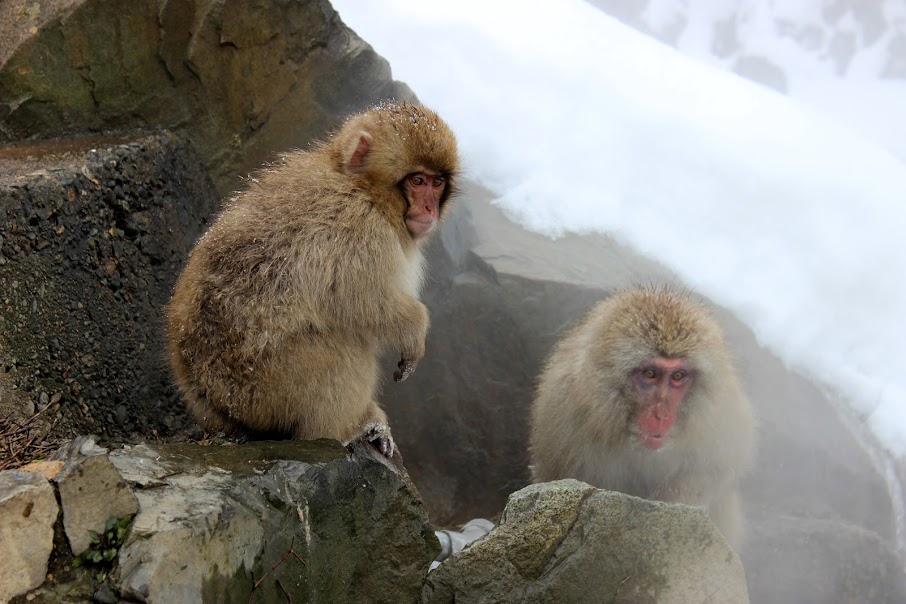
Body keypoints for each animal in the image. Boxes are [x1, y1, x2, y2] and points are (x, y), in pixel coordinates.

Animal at [164, 101, 460, 456]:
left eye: (437, 182)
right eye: (417, 180)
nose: (430, 209)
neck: (362, 187)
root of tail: (209, 401)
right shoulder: (361, 230)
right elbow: (363, 302)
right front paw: (416, 331)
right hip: (267, 388)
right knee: (345, 350)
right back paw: (344, 430)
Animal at [528, 286, 752, 544]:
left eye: (678, 376)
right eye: (650, 374)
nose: (661, 414)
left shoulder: (720, 417)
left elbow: (714, 470)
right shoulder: (562, 415)